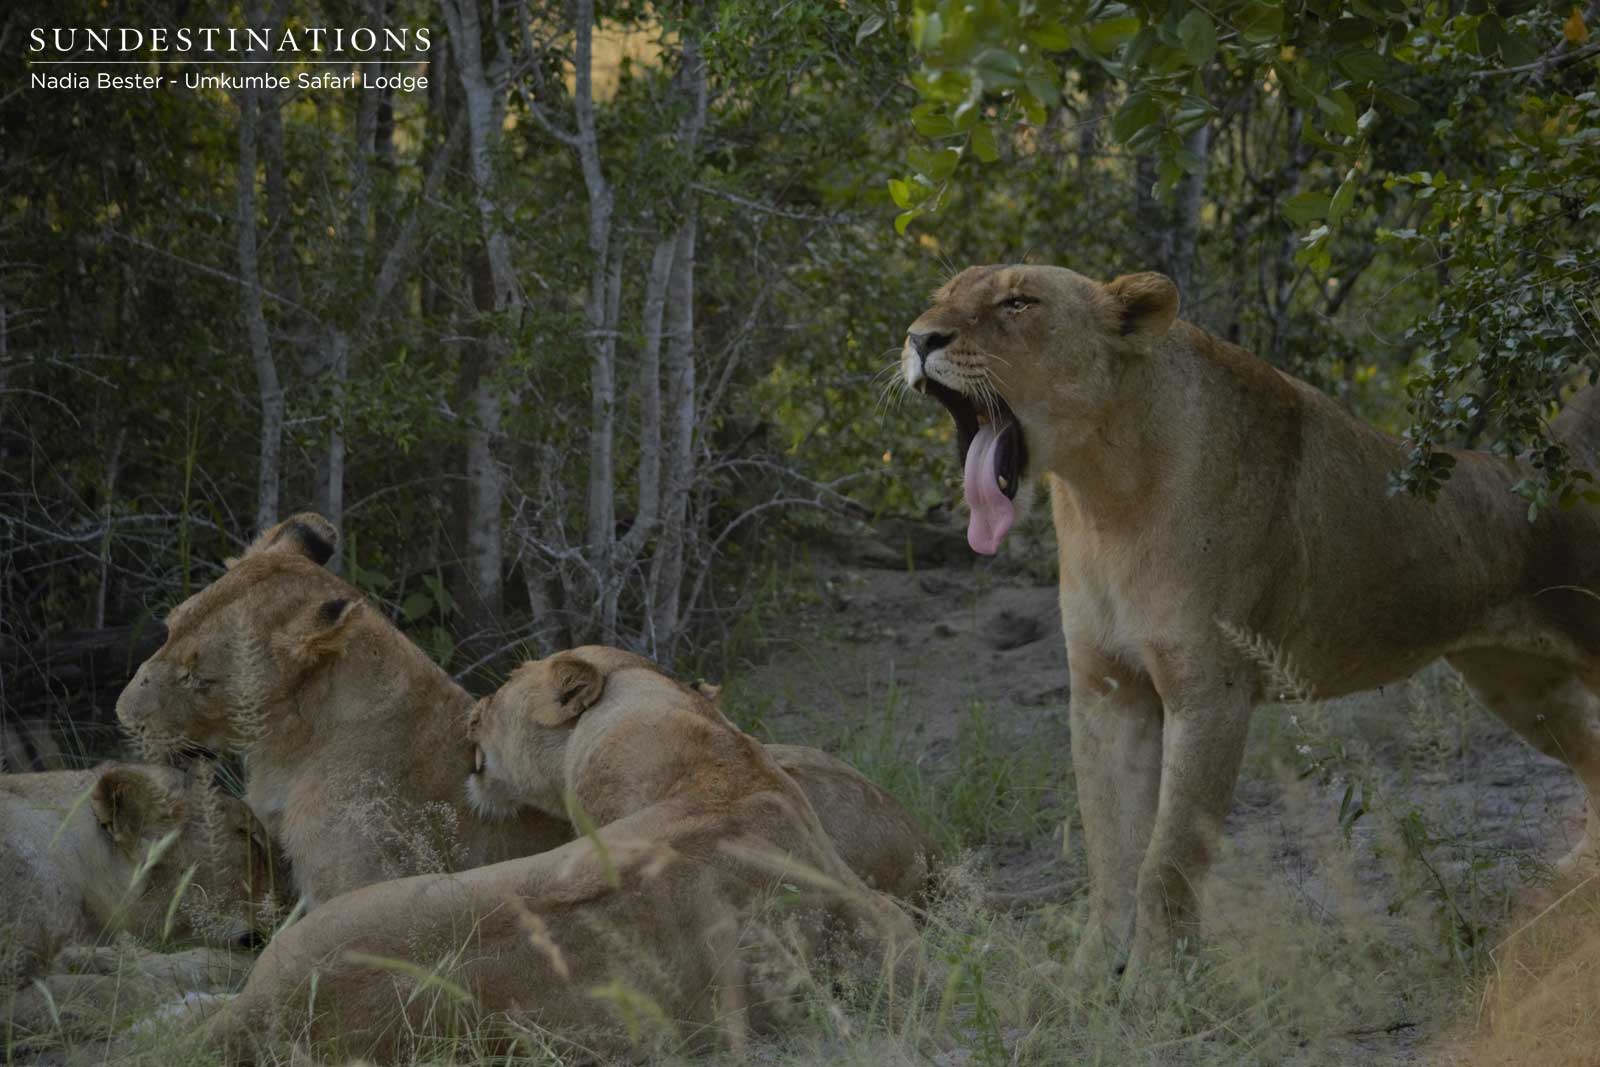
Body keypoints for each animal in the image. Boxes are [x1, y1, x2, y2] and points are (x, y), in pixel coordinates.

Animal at [117, 514, 937, 910]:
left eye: (198, 674)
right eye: (166, 626)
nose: (123, 716)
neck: (291, 749)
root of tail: (919, 836)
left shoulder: (352, 885)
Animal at [902, 264, 1600, 986]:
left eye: (1018, 302)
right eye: (942, 296)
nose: (919, 338)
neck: (1104, 496)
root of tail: (1544, 464)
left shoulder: (1210, 690)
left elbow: (1168, 855)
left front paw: (1157, 981)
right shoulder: (1106, 689)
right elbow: (1110, 850)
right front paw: (1091, 973)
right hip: (1517, 686)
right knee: (1592, 753)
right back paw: (1581, 874)